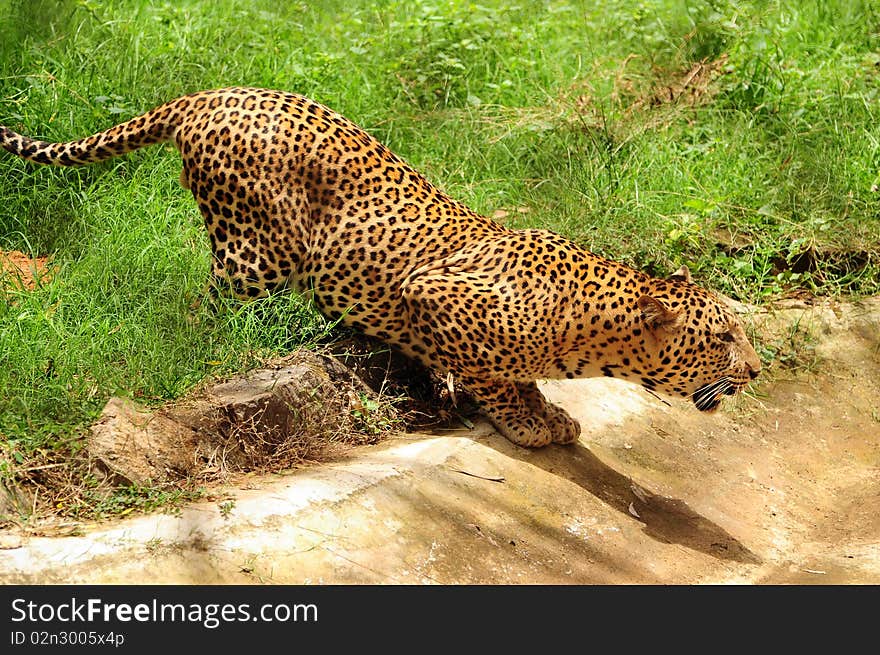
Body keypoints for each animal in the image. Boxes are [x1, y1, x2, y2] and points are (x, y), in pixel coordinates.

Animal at [0, 86, 760, 446]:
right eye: (722, 337)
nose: (757, 370)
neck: (591, 333)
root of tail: (209, 94)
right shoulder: (434, 293)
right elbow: (490, 373)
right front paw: (526, 419)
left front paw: (549, 409)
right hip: (257, 251)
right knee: (201, 306)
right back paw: (220, 340)